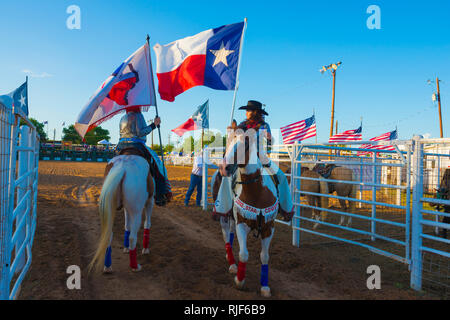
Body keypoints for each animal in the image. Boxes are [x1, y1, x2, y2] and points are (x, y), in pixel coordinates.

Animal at [219, 129, 296, 298]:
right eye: (228, 140)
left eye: (246, 142)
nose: (224, 168)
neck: (256, 191)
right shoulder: (242, 224)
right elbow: (244, 254)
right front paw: (240, 281)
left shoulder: (269, 228)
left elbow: (265, 256)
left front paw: (265, 286)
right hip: (224, 214)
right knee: (226, 234)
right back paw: (232, 263)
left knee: (230, 233)